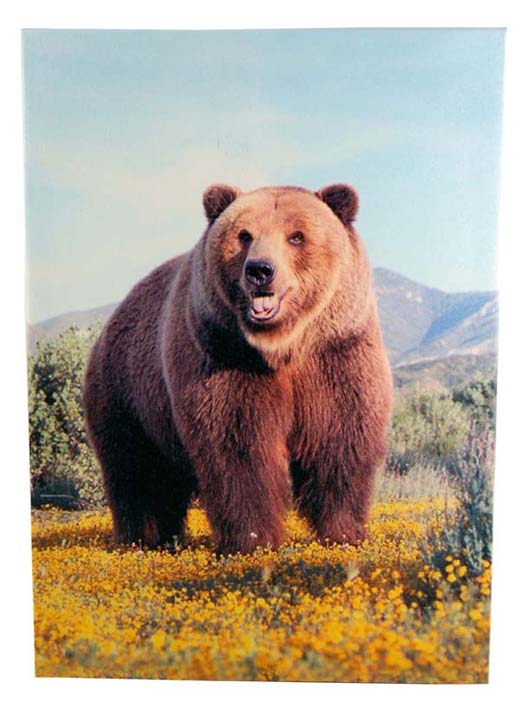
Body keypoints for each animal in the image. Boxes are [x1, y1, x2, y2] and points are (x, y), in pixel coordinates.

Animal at [83, 183, 393, 554]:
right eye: (244, 235)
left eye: (297, 236)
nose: (260, 270)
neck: (283, 347)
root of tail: (113, 319)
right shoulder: (225, 356)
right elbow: (239, 446)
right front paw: (252, 540)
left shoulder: (337, 354)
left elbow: (340, 440)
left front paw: (344, 533)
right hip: (127, 392)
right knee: (136, 471)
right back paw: (142, 539)